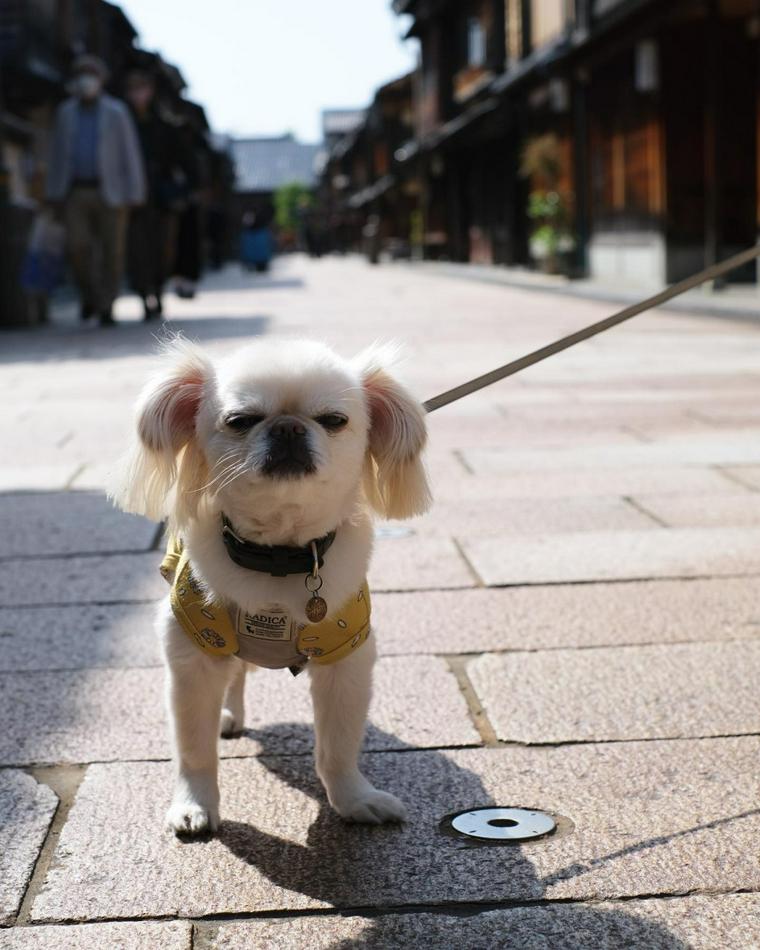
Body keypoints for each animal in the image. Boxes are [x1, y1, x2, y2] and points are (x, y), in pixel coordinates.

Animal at [110, 338, 430, 836]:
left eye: (333, 420)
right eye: (240, 421)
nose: (287, 427)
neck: (278, 559)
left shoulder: (346, 660)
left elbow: (338, 747)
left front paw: (356, 800)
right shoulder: (194, 656)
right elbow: (194, 751)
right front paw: (194, 806)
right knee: (235, 677)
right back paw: (228, 718)